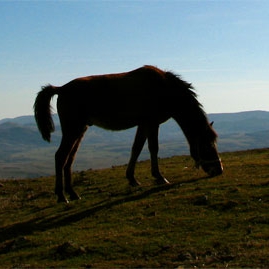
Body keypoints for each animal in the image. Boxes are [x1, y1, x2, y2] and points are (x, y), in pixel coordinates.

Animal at [33, 65, 222, 203]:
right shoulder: (151, 123)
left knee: (69, 158)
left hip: (80, 130)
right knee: (60, 156)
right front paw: (159, 177)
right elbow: (153, 148)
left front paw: (132, 178)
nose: (219, 170)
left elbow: (136, 148)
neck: (164, 89)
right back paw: (61, 196)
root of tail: (61, 89)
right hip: (72, 130)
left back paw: (72, 193)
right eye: (206, 145)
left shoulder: (143, 125)